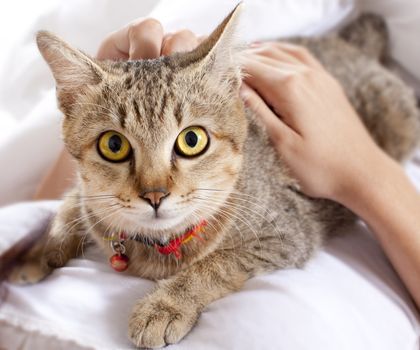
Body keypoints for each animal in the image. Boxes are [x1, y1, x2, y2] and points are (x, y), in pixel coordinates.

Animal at [8, 4, 418, 348]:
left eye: (192, 140)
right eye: (113, 145)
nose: (155, 194)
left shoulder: (286, 234)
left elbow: (215, 264)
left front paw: (166, 306)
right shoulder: (88, 198)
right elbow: (71, 205)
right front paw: (33, 253)